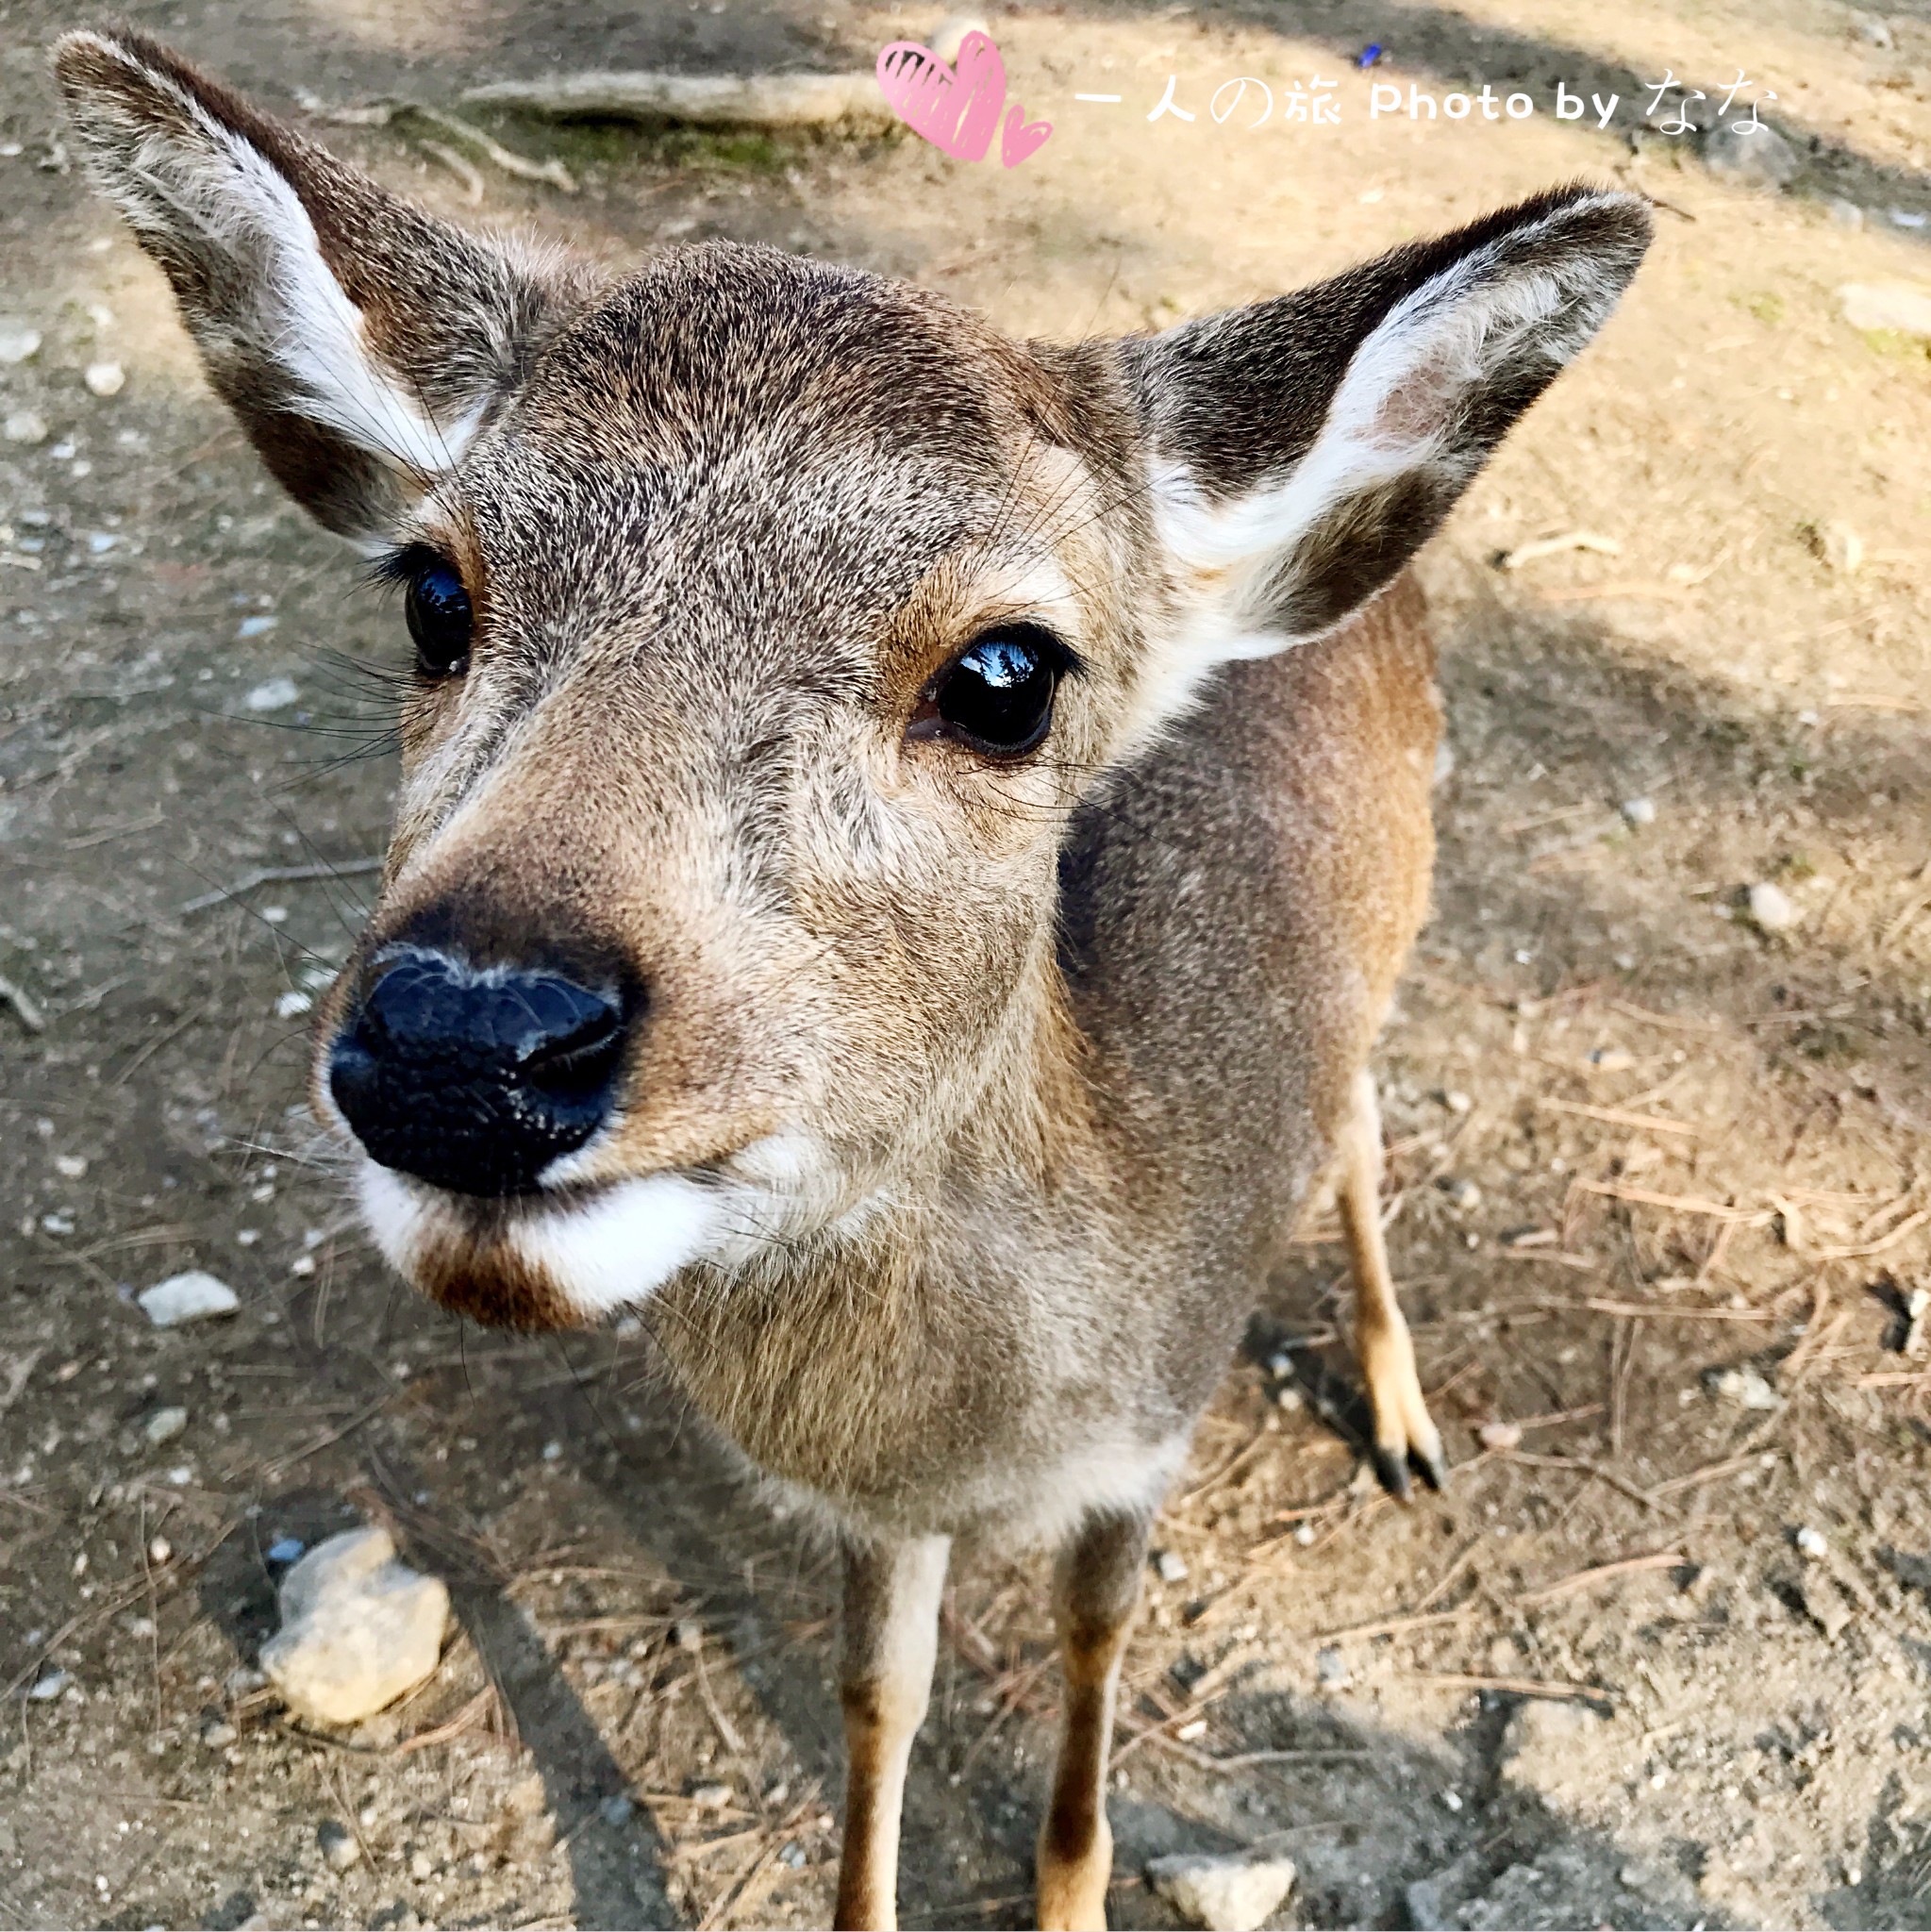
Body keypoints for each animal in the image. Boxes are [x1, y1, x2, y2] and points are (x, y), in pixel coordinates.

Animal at [59, 30, 1653, 1932]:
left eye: (1005, 673)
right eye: (434, 592)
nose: (466, 1036)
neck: (978, 1428)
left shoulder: (1155, 1423)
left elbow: (1094, 1645)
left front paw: (1068, 1889)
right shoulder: (878, 1516)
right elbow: (875, 1694)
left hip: (1399, 924)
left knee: (1355, 1130)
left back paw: (1406, 1420)